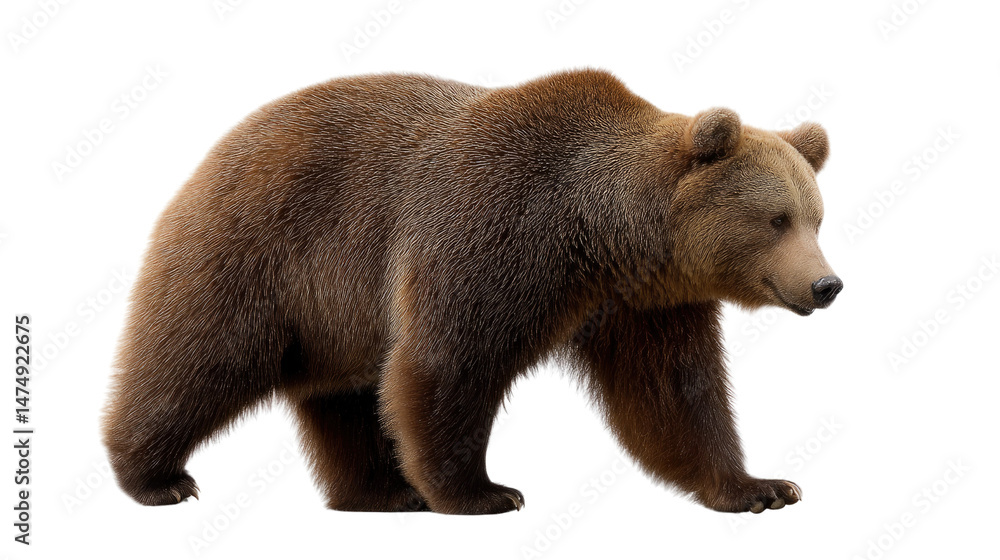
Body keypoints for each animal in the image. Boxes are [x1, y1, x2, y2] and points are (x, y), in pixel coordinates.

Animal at [102, 68, 842, 515]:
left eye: (815, 216)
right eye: (775, 219)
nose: (827, 283)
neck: (598, 235)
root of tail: (218, 146)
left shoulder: (646, 304)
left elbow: (676, 397)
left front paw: (761, 486)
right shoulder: (492, 235)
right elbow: (448, 362)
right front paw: (483, 491)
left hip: (336, 314)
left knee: (345, 395)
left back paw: (379, 490)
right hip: (263, 249)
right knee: (200, 356)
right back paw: (157, 476)